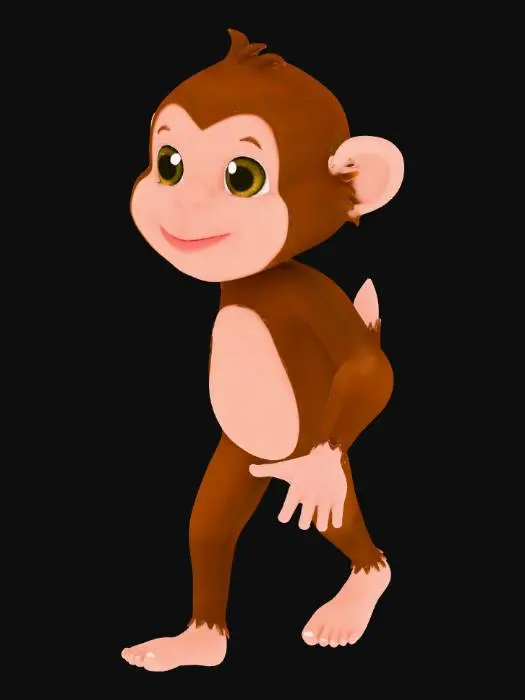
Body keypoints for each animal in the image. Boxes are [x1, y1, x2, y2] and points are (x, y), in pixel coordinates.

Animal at [121, 29, 404, 672]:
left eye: (242, 176)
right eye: (169, 163)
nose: (183, 206)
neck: (255, 282)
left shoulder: (310, 295)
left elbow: (370, 367)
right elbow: (208, 523)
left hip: (312, 453)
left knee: (343, 521)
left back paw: (358, 592)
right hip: (241, 458)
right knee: (209, 523)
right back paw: (198, 643)